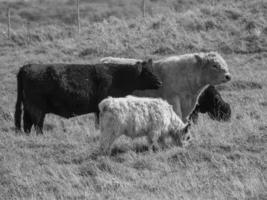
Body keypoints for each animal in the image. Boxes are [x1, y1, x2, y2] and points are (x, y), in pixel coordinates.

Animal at [14, 59, 162, 134]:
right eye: (147, 72)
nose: (160, 82)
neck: (117, 76)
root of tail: (27, 67)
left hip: (29, 107)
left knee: (27, 124)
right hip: (37, 108)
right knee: (37, 124)